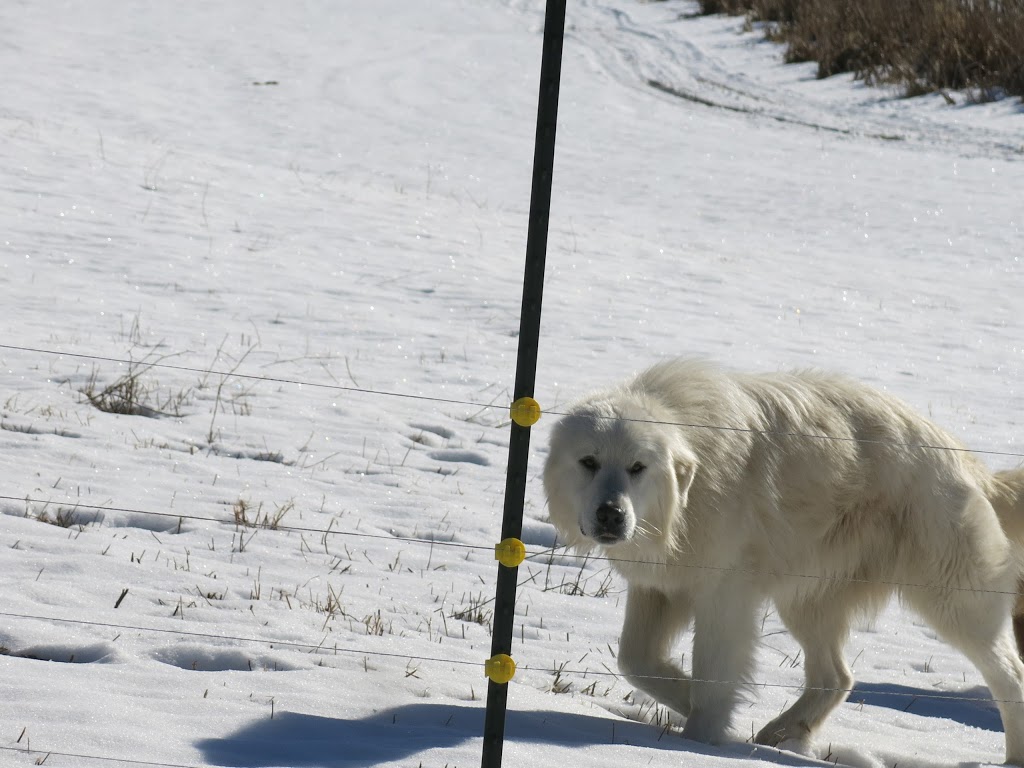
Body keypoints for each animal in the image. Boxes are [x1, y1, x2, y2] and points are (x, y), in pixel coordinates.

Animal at [548, 360, 1024, 765]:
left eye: (638, 467)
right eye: (589, 462)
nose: (611, 515)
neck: (690, 490)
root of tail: (969, 464)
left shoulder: (725, 595)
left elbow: (712, 676)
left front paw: (699, 741)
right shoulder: (658, 586)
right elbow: (636, 661)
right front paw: (689, 703)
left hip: (953, 597)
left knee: (1010, 675)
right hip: (807, 598)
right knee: (836, 677)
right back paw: (782, 732)